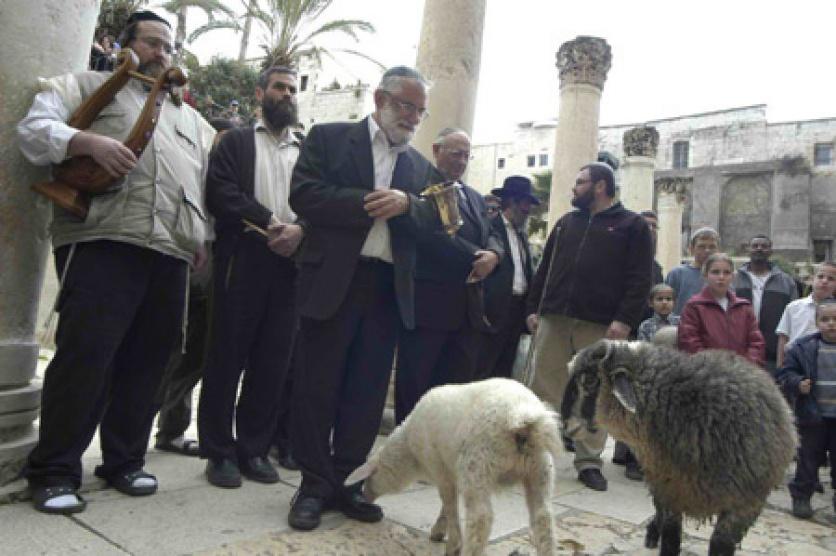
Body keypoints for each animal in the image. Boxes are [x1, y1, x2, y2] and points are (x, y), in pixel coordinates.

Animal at [346, 378, 560, 556]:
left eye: (368, 478)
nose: (365, 497)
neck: (410, 452)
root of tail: (523, 417)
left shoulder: (439, 469)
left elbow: (449, 504)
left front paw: (452, 543)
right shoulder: (451, 472)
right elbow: (447, 506)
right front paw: (439, 531)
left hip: (478, 466)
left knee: (481, 518)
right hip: (540, 469)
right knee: (543, 517)